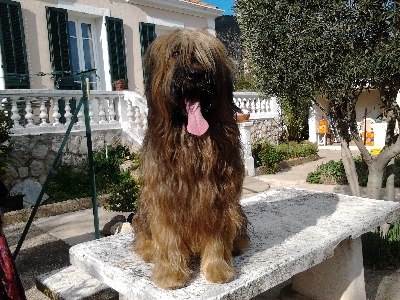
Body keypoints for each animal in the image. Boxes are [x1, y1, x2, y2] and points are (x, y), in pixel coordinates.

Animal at [134, 28, 250, 290]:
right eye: (176, 53)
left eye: (207, 56)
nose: (196, 74)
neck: (192, 141)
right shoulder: (163, 196)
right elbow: (168, 237)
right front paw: (171, 274)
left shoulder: (218, 197)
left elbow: (217, 236)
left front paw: (217, 269)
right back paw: (148, 250)